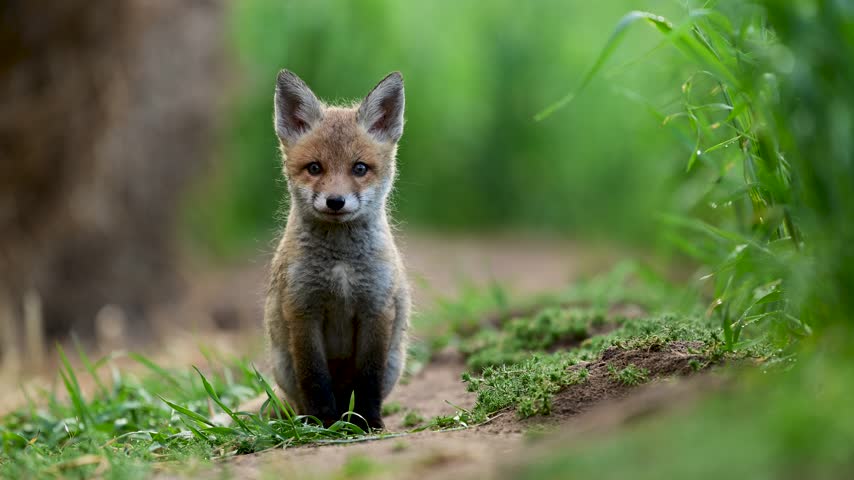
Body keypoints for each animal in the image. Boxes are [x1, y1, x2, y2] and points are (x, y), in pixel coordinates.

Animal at [264, 69, 410, 430]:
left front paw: (368, 421)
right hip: (283, 366)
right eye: (314, 168)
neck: (341, 264)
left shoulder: (376, 309)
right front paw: (323, 423)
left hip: (395, 360)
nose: (335, 201)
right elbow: (314, 377)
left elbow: (368, 379)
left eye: (359, 168)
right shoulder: (302, 310)